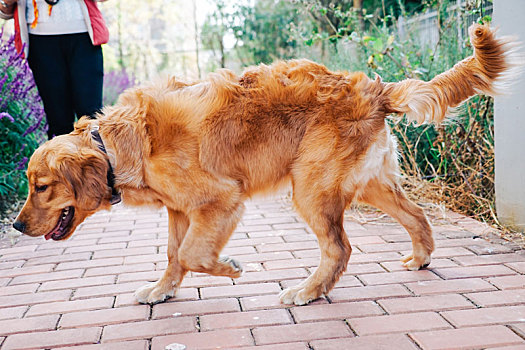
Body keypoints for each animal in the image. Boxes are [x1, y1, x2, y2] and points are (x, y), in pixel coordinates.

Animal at [12, 24, 520, 304]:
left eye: (41, 186)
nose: (15, 226)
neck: (117, 144)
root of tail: (373, 88)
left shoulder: (221, 200)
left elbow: (193, 254)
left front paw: (231, 268)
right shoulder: (180, 210)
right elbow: (176, 255)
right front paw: (162, 291)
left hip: (311, 189)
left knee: (339, 249)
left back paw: (308, 292)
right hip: (370, 185)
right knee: (417, 218)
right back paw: (419, 259)